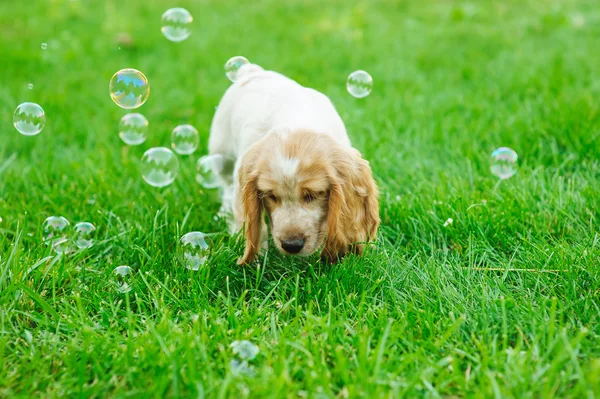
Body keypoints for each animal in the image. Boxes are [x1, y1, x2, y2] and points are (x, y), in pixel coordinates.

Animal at [210, 65, 380, 266]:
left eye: (312, 195)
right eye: (270, 196)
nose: (291, 245)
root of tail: (251, 70)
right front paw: (256, 259)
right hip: (221, 153)